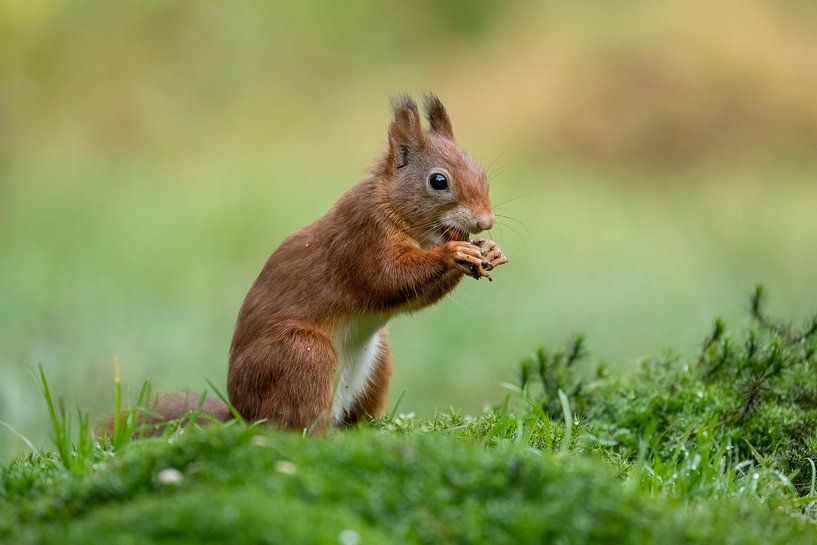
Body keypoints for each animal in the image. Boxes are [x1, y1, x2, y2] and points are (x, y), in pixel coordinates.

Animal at [138, 93, 507, 432]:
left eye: (480, 172)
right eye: (438, 181)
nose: (486, 221)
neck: (399, 211)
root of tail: (239, 413)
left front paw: (489, 250)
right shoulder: (362, 236)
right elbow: (388, 279)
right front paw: (454, 253)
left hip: (377, 364)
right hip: (303, 355)